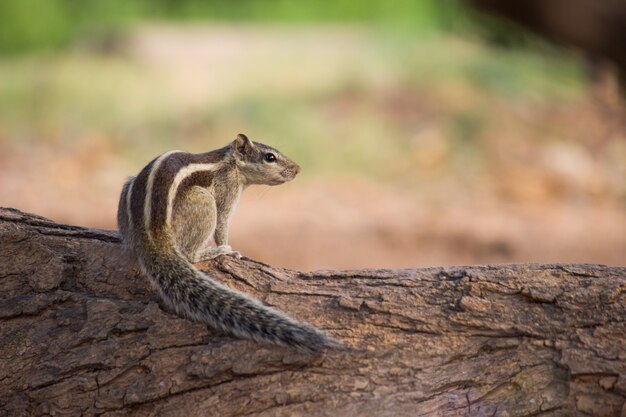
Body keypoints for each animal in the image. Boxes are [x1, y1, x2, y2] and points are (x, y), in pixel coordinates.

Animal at [117, 134, 338, 354]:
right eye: (270, 157)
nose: (297, 169)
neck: (231, 162)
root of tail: (150, 235)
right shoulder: (227, 190)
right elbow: (223, 223)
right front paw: (229, 251)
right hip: (203, 201)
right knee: (189, 254)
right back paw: (215, 252)